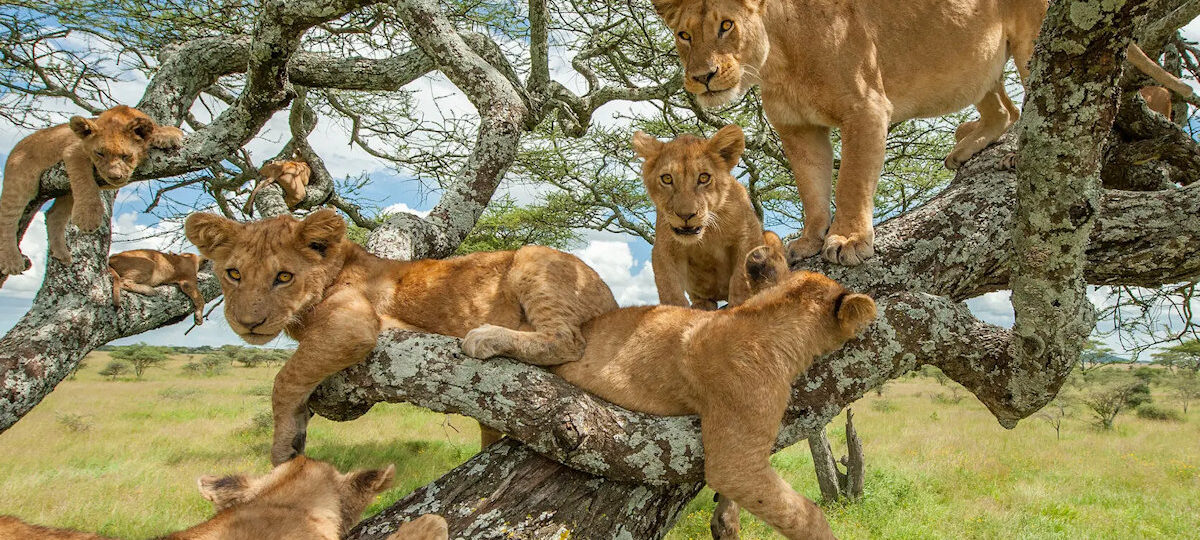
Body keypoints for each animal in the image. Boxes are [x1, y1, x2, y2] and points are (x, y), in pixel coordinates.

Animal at [0, 105, 184, 276]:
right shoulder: (73, 151)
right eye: (100, 153)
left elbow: (155, 127)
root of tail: (17, 146)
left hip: (66, 192)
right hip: (21, 182)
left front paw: (167, 133)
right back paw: (12, 261)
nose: (114, 176)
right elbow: (84, 181)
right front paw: (88, 218)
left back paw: (61, 254)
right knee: (7, 218)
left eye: (126, 156)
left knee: (53, 215)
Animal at [184, 209, 618, 465]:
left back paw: (484, 336)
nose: (248, 323)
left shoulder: (354, 326)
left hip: (532, 255)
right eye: (233, 274)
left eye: (284, 277)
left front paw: (283, 448)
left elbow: (285, 377)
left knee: (566, 339)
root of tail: (611, 296)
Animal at [634, 124, 768, 310]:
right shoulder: (664, 248)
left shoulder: (750, 234)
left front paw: (739, 305)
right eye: (667, 178)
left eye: (704, 177)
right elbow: (669, 288)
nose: (686, 215)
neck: (707, 233)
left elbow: (741, 278)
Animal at [649, 0, 1194, 267]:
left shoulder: (867, 107)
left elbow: (852, 181)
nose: (701, 77)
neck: (777, 55)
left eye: (726, 25)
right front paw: (808, 239)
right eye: (683, 34)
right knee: (1005, 108)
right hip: (974, 61)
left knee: (1044, 102)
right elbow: (812, 187)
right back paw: (970, 145)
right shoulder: (797, 127)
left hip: (1037, 39)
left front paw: (848, 240)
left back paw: (1016, 155)